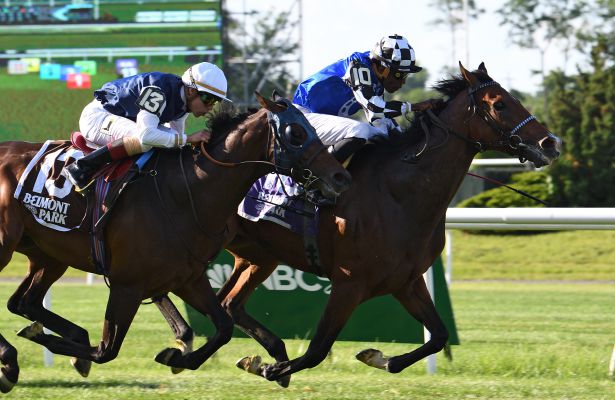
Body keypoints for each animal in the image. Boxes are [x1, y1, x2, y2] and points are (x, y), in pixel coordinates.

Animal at [0, 92, 352, 392]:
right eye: (296, 133)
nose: (340, 177)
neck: (186, 191)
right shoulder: (127, 284)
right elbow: (105, 350)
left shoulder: (187, 278)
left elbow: (223, 327)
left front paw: (177, 356)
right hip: (7, 245)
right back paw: (12, 358)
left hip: (47, 254)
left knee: (22, 302)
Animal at [150, 61, 564, 384]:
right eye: (499, 103)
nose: (550, 143)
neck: (401, 192)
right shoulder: (350, 282)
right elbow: (317, 349)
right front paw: (272, 369)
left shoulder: (406, 281)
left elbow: (438, 335)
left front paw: (379, 358)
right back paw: (187, 343)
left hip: (258, 256)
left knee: (229, 303)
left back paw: (242, 349)